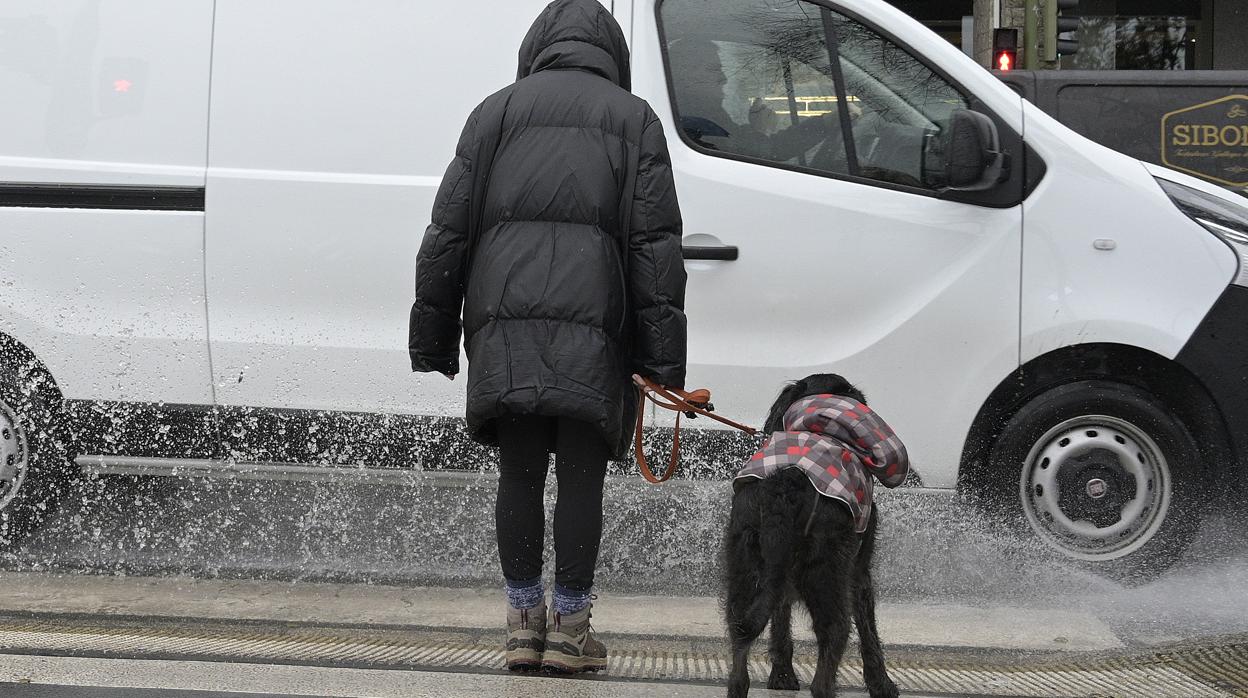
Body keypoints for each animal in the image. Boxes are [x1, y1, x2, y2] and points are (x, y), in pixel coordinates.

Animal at [723, 377, 898, 698]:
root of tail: (785, 486)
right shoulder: (859, 571)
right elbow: (869, 629)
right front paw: (882, 684)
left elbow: (780, 618)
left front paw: (781, 675)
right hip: (827, 574)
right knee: (831, 648)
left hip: (744, 569)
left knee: (739, 661)